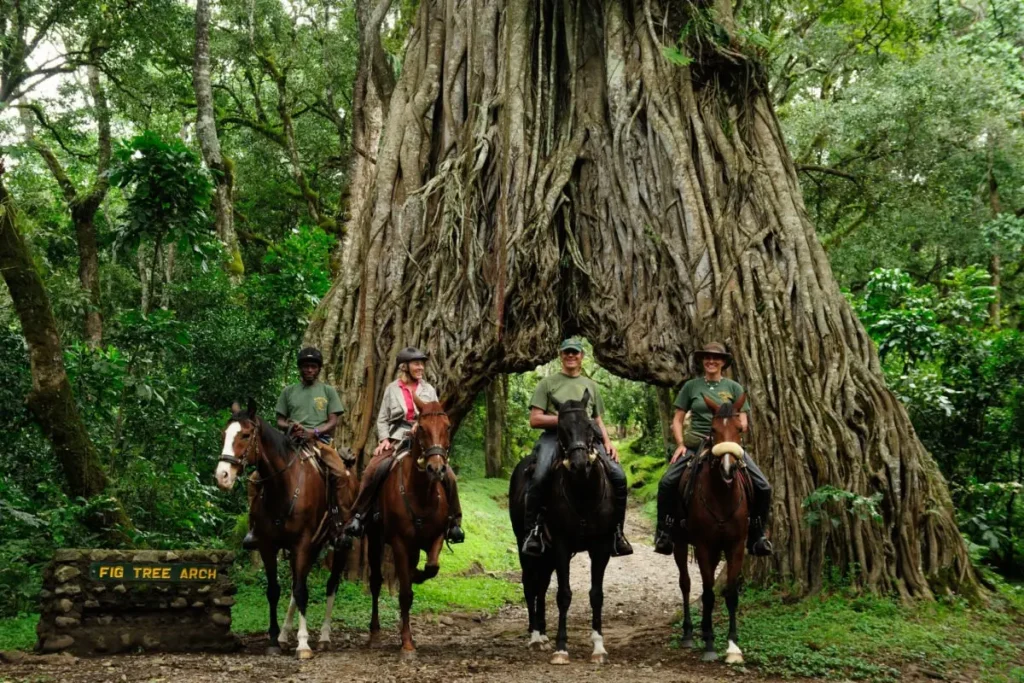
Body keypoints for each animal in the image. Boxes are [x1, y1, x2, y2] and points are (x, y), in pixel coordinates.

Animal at [214, 401, 358, 655]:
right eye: (224, 434)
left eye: (245, 435)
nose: (222, 476)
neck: (283, 488)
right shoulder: (268, 546)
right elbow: (275, 591)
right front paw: (274, 639)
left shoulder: (302, 544)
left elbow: (302, 591)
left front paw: (303, 643)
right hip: (311, 548)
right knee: (295, 586)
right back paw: (284, 635)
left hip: (339, 545)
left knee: (331, 585)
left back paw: (324, 636)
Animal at [366, 397, 450, 659]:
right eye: (421, 428)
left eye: (448, 426)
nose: (436, 469)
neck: (421, 493)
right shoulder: (400, 543)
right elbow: (404, 594)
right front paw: (407, 644)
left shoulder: (436, 537)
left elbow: (431, 568)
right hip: (374, 539)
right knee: (375, 581)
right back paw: (374, 633)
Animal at [512, 389, 614, 667]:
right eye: (562, 429)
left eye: (590, 426)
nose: (579, 464)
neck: (582, 492)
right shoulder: (560, 544)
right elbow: (564, 595)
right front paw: (561, 648)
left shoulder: (600, 546)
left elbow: (596, 594)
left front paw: (598, 647)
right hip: (526, 544)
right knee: (530, 583)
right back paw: (536, 636)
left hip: (546, 554)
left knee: (541, 584)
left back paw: (543, 631)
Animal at [671, 393, 753, 663]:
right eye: (714, 430)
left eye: (740, 429)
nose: (728, 469)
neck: (722, 494)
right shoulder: (703, 545)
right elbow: (707, 593)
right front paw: (708, 644)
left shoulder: (736, 545)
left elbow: (730, 593)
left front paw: (733, 646)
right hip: (679, 542)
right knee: (686, 583)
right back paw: (689, 633)